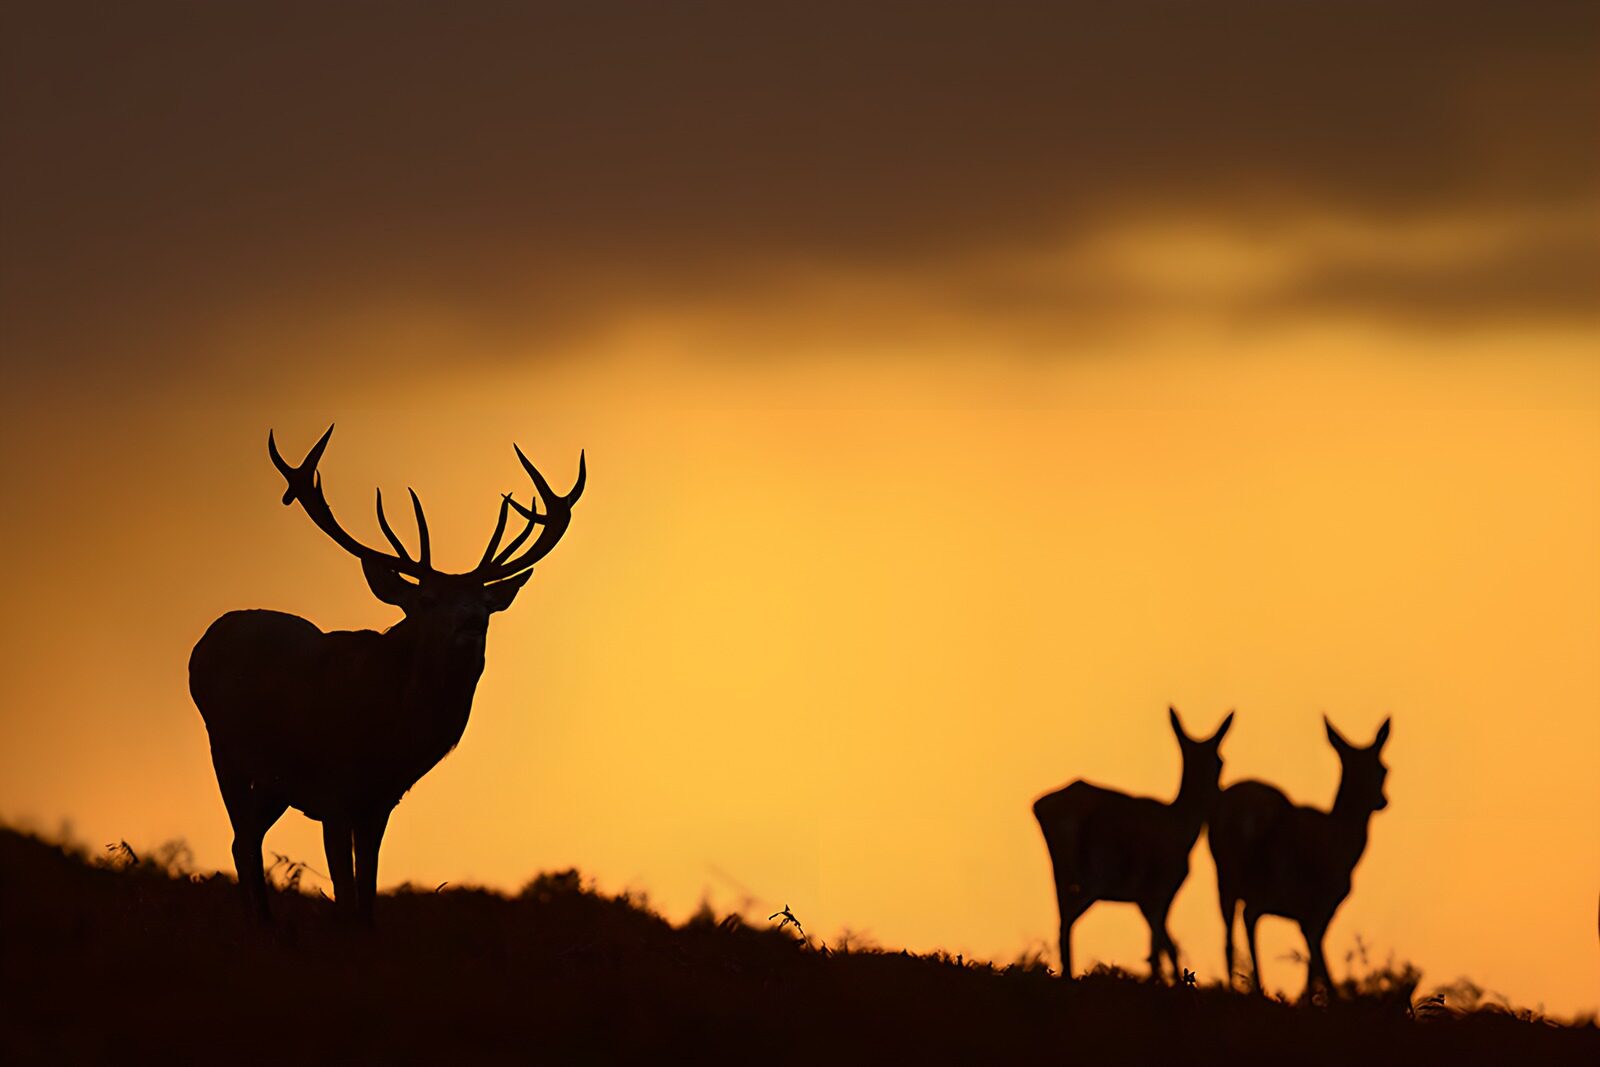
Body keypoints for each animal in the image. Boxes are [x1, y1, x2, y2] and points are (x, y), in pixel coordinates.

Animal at [189, 425, 584, 925]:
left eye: (486, 603)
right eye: (428, 599)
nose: (471, 621)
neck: (387, 738)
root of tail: (204, 642)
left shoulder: (379, 802)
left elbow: (368, 898)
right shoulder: (333, 791)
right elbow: (344, 897)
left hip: (274, 782)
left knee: (247, 840)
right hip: (223, 747)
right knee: (242, 838)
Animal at [1032, 707, 1233, 981]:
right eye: (1221, 761)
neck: (1181, 825)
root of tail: (1042, 806)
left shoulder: (1144, 900)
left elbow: (1165, 945)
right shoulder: (1159, 891)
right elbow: (1160, 946)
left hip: (1062, 874)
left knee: (1062, 920)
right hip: (1095, 877)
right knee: (1069, 920)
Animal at [1209, 716, 1391, 998]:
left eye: (1381, 769)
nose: (1381, 800)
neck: (1343, 844)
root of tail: (1237, 812)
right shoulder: (1319, 904)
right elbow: (1315, 953)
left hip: (1224, 874)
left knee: (1228, 929)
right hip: (1274, 875)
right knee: (1250, 914)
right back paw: (1260, 988)